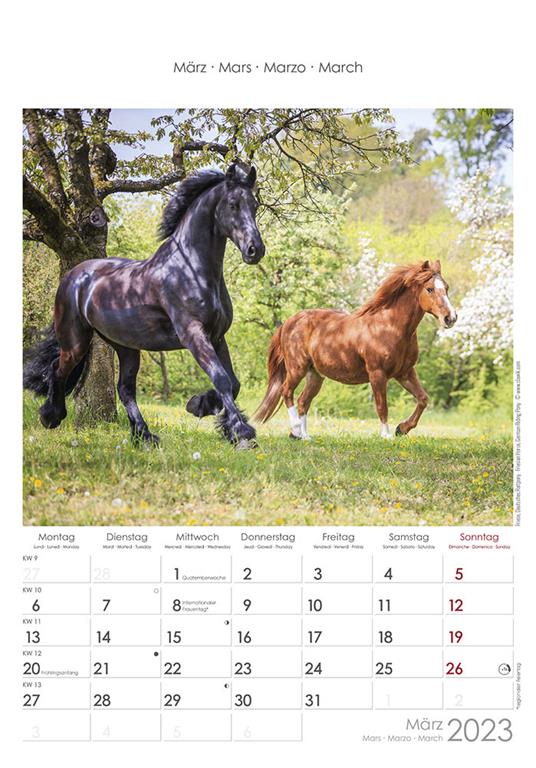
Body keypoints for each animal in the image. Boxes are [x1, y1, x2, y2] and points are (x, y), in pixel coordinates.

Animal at [23, 163, 265, 448]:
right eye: (233, 204)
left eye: (255, 205)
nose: (255, 250)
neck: (189, 268)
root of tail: (73, 276)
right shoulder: (193, 334)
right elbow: (222, 380)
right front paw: (242, 433)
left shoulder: (217, 336)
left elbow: (233, 383)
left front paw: (202, 407)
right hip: (76, 343)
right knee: (57, 370)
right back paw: (51, 416)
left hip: (126, 347)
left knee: (125, 390)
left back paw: (144, 436)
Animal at [254, 260, 457, 439]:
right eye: (430, 289)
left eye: (446, 287)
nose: (451, 318)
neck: (391, 327)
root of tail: (288, 322)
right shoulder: (377, 373)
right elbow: (382, 406)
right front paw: (386, 435)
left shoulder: (405, 373)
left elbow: (423, 399)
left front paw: (402, 429)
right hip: (297, 368)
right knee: (287, 391)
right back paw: (295, 430)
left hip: (315, 375)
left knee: (303, 401)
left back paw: (304, 436)